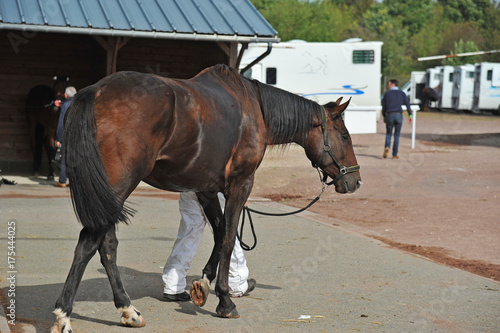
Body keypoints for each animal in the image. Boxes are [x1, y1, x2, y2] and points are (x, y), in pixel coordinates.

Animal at [50, 65, 362, 332]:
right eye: (345, 136)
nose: (355, 181)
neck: (255, 109)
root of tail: (96, 91)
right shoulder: (241, 184)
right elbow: (229, 237)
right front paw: (225, 300)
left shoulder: (206, 189)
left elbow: (221, 231)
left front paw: (204, 283)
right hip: (117, 187)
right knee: (89, 244)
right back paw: (64, 316)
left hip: (108, 195)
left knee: (107, 246)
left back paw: (128, 311)